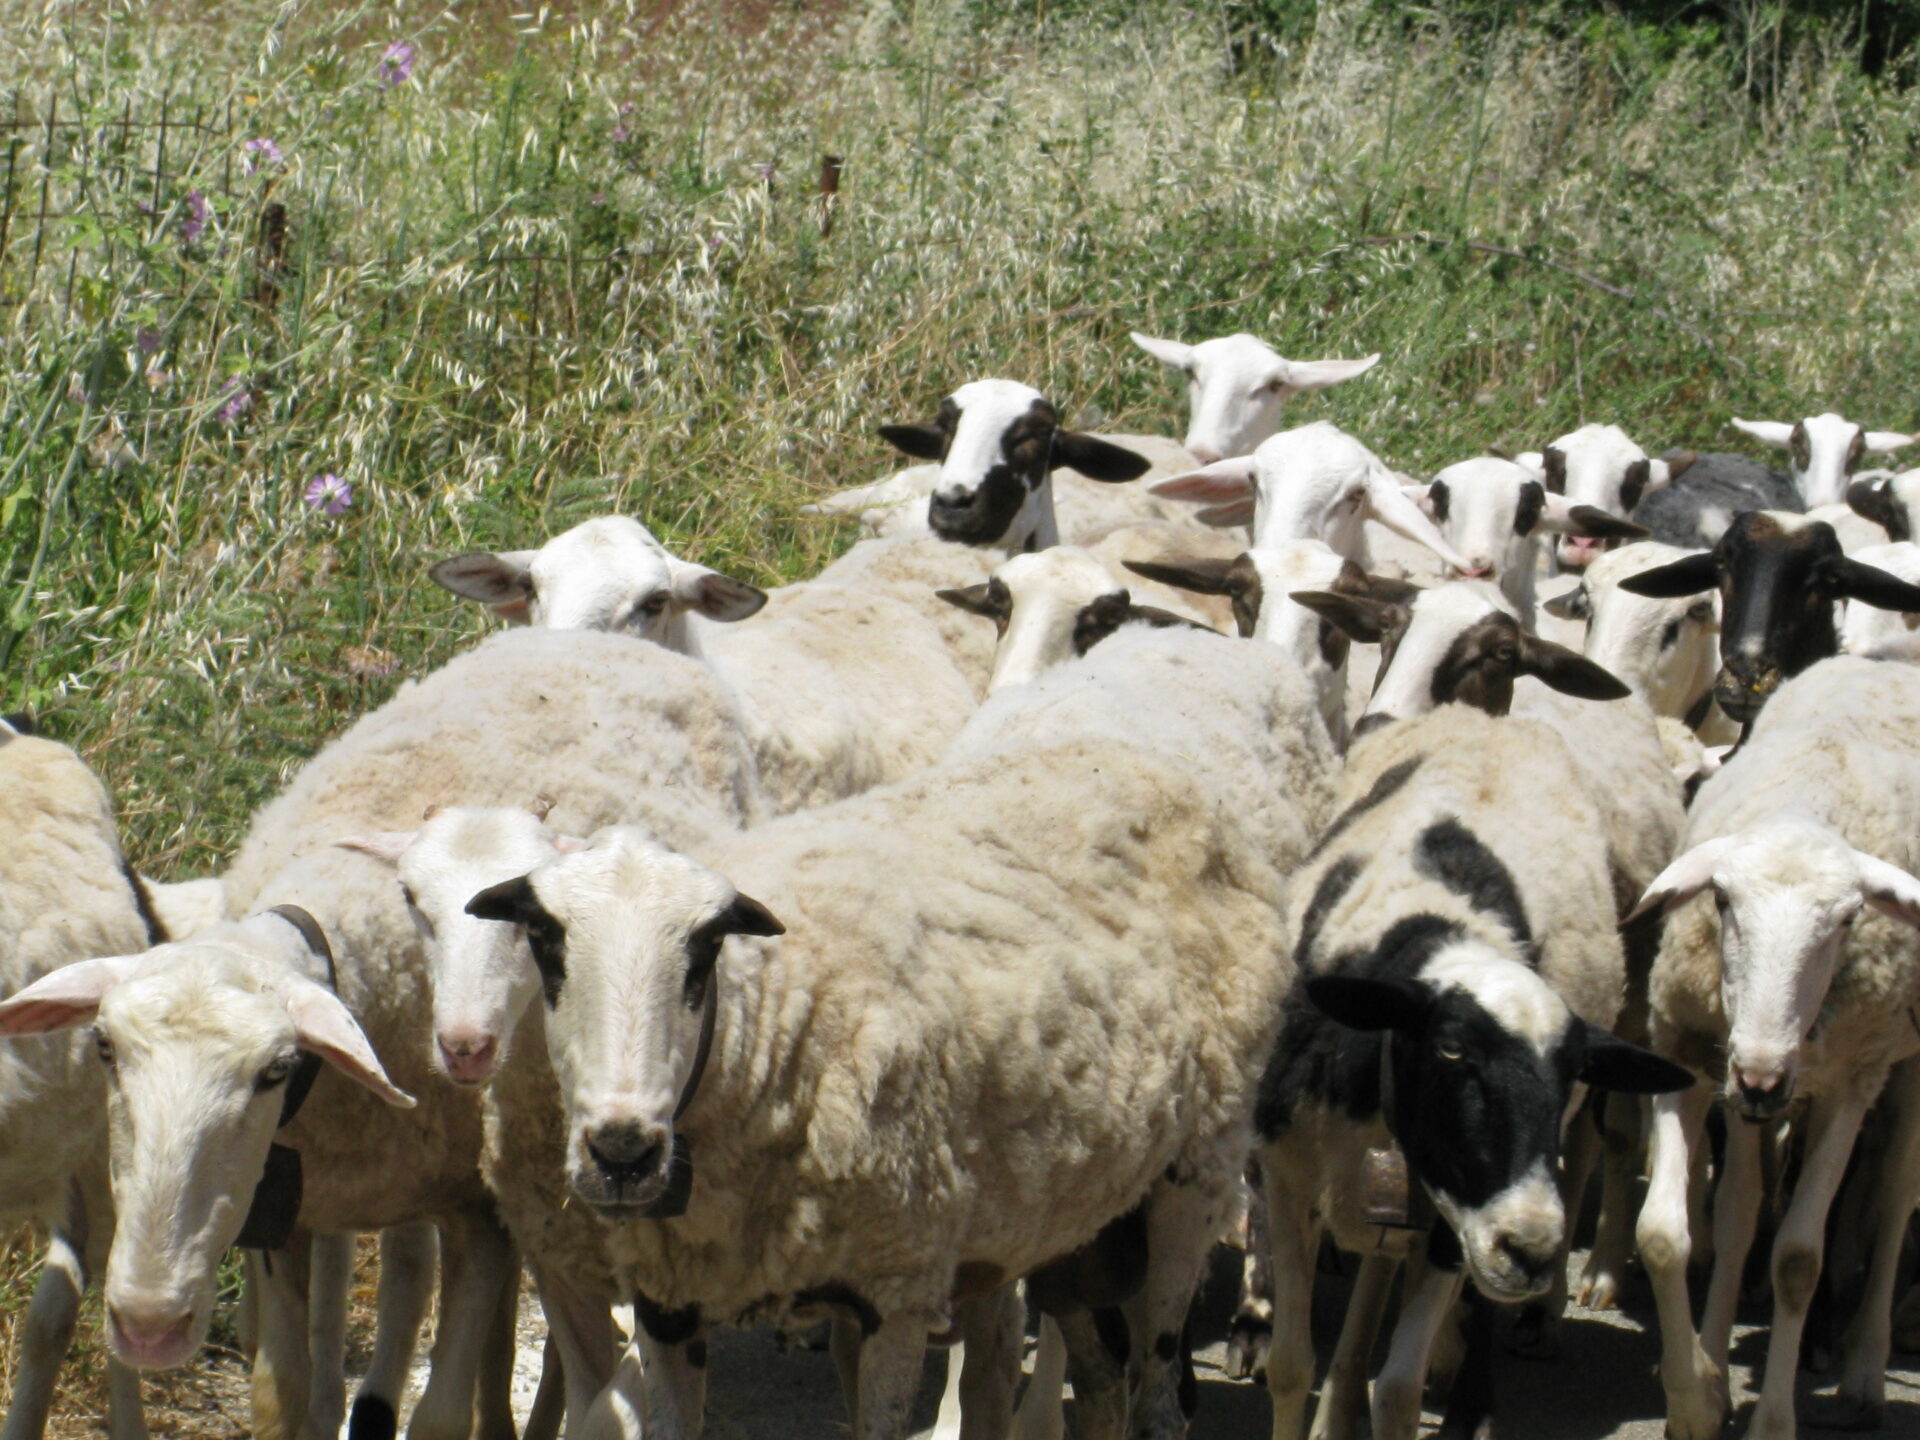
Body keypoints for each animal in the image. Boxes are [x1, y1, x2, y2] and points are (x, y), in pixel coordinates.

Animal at [461, 719, 1292, 1440]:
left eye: (704, 951)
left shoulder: (896, 1284)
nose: (623, 1154)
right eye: (544, 939)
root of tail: (1166, 776)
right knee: (1101, 1383)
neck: (768, 1029)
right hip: (1076, 1223)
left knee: (1158, 1398)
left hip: (1193, 1178)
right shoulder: (669, 1307)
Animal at [1255, 704, 1693, 1440]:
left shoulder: (1455, 1221)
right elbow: (1290, 1366)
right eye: (1451, 1049)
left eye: (1571, 1071)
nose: (1533, 1249)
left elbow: (1399, 1390)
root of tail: (1486, 716)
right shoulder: (1287, 1177)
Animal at [1628, 655, 1920, 1440]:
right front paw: (1696, 1396)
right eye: (1723, 901)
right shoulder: (1686, 1047)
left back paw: (1864, 1370)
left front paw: (1774, 1419)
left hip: (1898, 1064)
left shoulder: (1854, 1081)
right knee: (1741, 1206)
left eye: (1849, 919)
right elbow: (1666, 1234)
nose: (1761, 1077)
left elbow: (1796, 1259)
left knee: (1894, 1196)